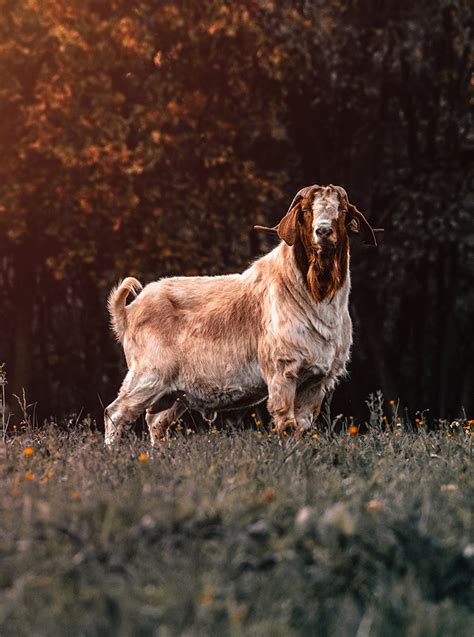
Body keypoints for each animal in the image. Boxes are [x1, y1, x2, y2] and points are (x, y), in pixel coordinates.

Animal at [104, 184, 378, 442]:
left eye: (343, 212)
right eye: (306, 211)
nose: (323, 232)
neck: (313, 297)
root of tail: (127, 312)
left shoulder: (316, 382)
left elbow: (302, 428)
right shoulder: (282, 372)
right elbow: (286, 425)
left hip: (173, 393)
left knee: (156, 423)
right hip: (147, 376)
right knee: (116, 414)